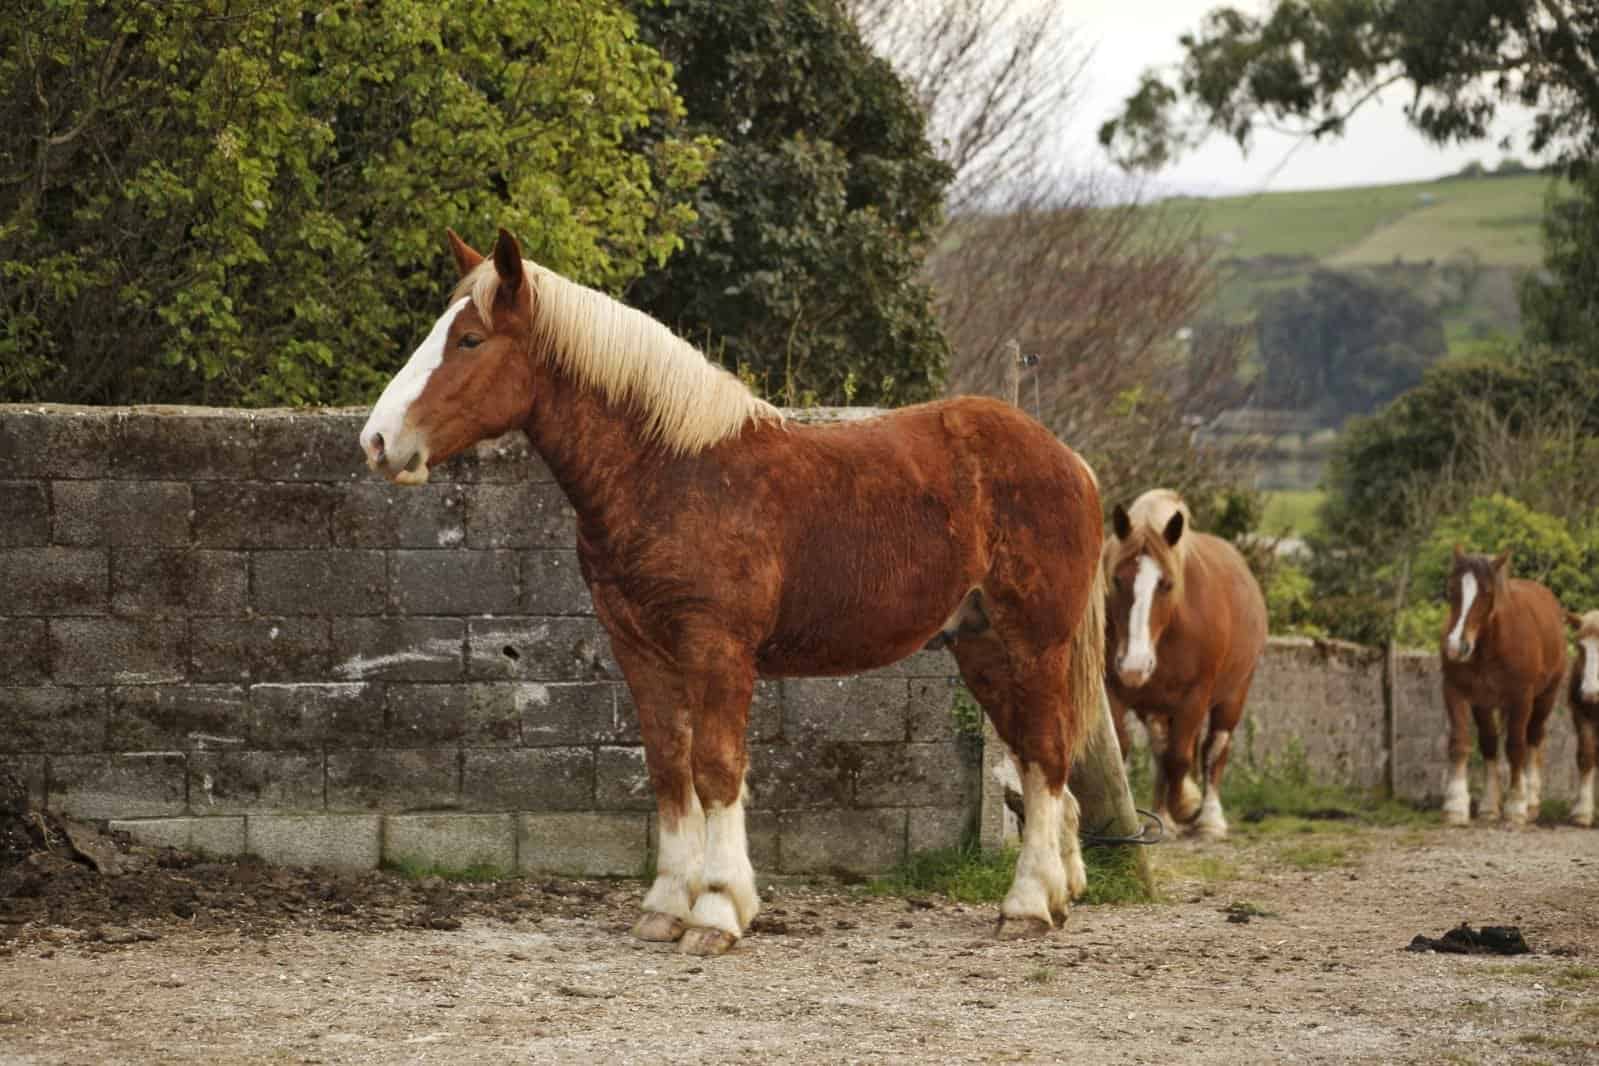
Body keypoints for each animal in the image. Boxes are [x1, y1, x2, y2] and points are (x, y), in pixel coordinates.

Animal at [358, 228, 1107, 955]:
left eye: (470, 339)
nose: (377, 441)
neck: (671, 472)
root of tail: (1069, 459)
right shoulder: (639, 650)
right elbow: (669, 768)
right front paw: (665, 908)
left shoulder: (716, 649)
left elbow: (716, 769)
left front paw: (717, 911)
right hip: (980, 648)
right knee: (1036, 760)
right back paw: (1058, 891)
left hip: (1032, 643)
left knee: (1045, 754)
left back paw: (1026, 906)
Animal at [1101, 490, 1267, 839]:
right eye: (1118, 580)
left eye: (1166, 584)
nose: (1135, 665)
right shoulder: (1115, 690)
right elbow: (1124, 749)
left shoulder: (1196, 695)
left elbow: (1181, 757)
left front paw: (1187, 805)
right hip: (1157, 707)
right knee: (1162, 750)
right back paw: (1162, 817)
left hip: (1234, 694)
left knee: (1213, 749)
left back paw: (1210, 819)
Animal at [1439, 546, 1566, 826]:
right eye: (1451, 588)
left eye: (1487, 593)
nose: (1455, 647)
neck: (1491, 645)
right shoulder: (1460, 693)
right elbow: (1464, 742)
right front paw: (1459, 806)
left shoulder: (1521, 698)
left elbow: (1515, 747)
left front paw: (1516, 805)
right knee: (1495, 741)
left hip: (1545, 698)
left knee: (1533, 738)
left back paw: (1531, 801)